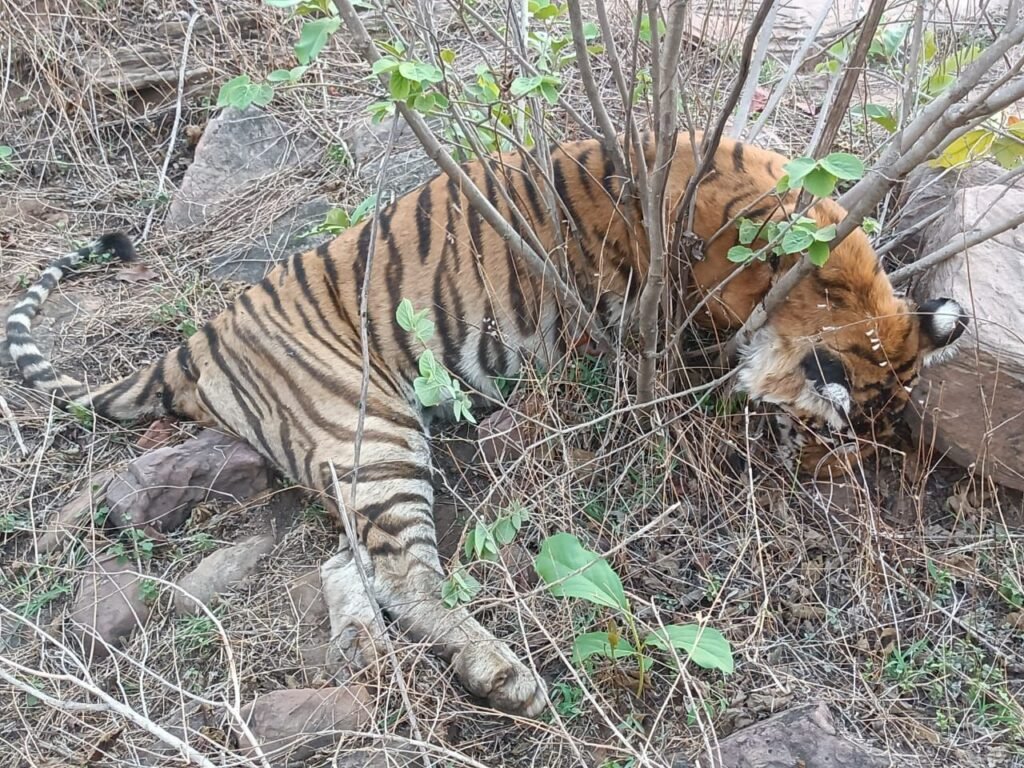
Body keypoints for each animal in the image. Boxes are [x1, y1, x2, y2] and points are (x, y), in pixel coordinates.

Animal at [5, 131, 967, 717]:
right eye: (821, 436)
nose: (821, 468)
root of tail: (200, 337)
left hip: (357, 455)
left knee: (349, 564)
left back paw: (362, 653)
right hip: (372, 428)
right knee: (405, 578)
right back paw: (502, 675)